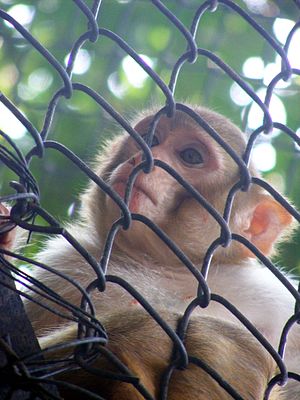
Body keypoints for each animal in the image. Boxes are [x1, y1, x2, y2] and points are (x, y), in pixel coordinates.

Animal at [0, 104, 298, 398]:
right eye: (151, 140)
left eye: (191, 156)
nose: (142, 159)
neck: (165, 266)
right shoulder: (63, 270)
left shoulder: (273, 297)